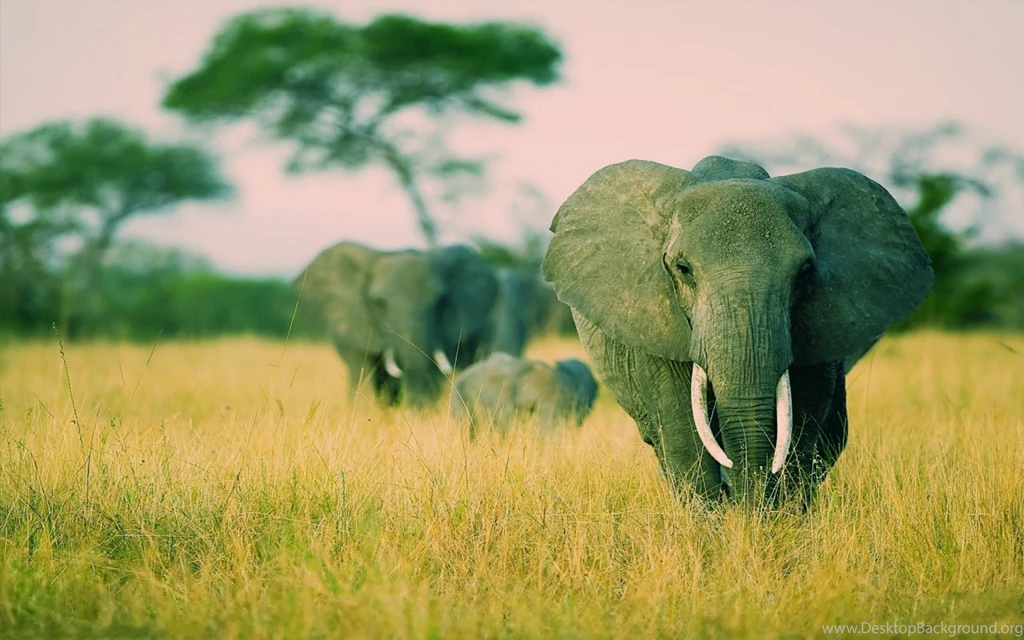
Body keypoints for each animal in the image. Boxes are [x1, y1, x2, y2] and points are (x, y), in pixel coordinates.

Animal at [541, 155, 933, 506]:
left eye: (805, 271)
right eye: (683, 268)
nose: (744, 506)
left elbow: (803, 423)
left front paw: (775, 524)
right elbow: (682, 429)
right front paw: (714, 530)